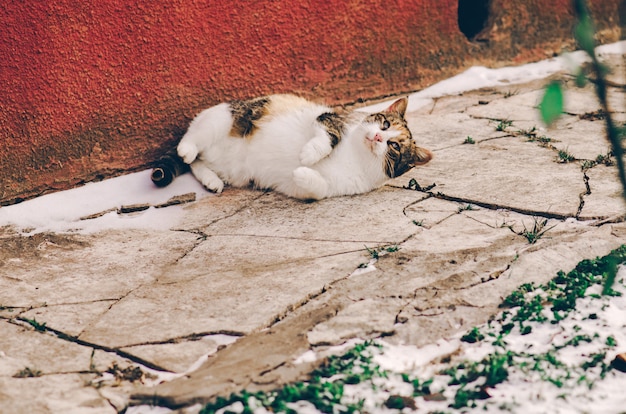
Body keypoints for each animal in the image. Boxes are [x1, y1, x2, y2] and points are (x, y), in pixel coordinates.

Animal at [154, 93, 432, 200]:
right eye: (385, 124)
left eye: (394, 147)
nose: (376, 137)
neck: (357, 155)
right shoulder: (326, 118)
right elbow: (327, 136)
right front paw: (309, 155)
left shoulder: (332, 188)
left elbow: (316, 190)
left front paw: (301, 171)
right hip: (222, 119)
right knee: (191, 139)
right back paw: (187, 149)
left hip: (234, 172)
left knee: (197, 164)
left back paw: (211, 180)